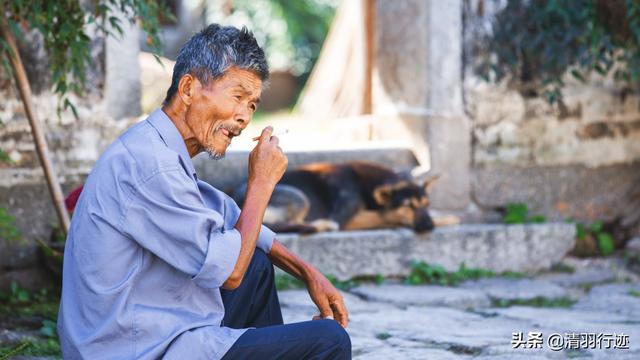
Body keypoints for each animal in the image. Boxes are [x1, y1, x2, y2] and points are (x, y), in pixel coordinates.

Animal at [231, 161, 440, 233]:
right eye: (408, 206)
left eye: (427, 203)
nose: (430, 226)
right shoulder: (345, 217)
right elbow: (382, 216)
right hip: (300, 198)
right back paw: (323, 225)